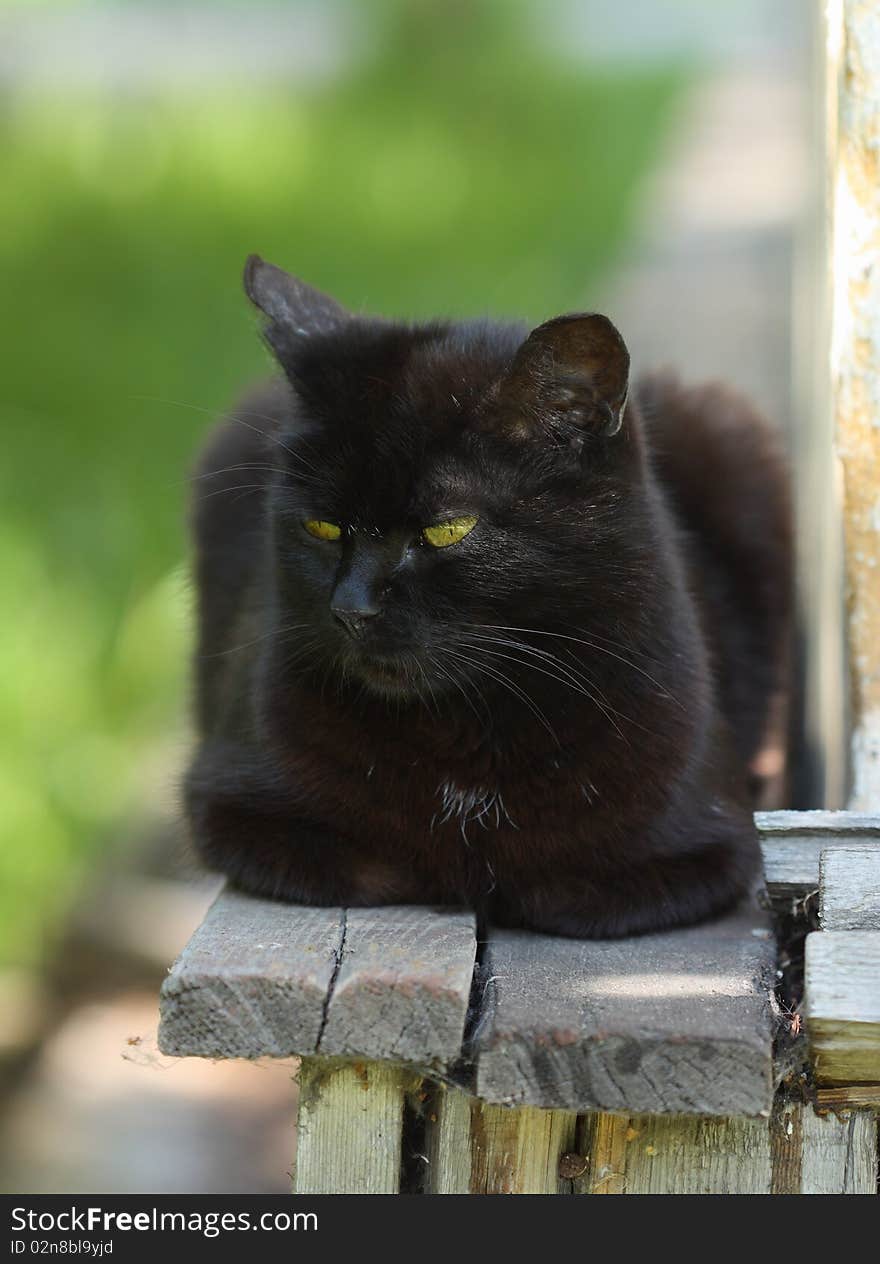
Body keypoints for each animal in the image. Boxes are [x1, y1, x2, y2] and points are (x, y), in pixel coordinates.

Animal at [183, 254, 788, 940]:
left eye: (448, 529)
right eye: (323, 527)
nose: (350, 608)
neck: (465, 730)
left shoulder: (706, 846)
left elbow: (559, 888)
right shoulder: (233, 802)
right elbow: (376, 862)